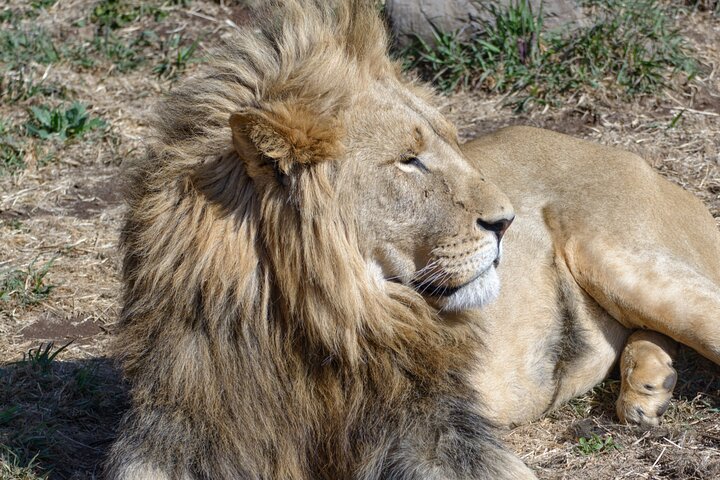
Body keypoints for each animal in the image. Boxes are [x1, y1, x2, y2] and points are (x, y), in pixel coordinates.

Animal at [106, 0, 720, 478]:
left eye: (452, 143)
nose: (508, 221)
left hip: (623, 258)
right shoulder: (180, 431)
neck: (307, 327)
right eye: (410, 160)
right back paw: (646, 387)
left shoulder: (439, 428)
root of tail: (632, 156)